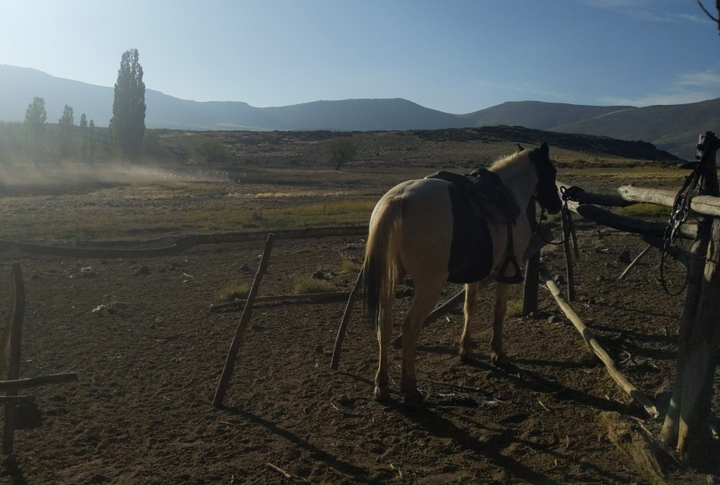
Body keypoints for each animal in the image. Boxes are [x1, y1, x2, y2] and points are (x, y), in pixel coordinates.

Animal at [366, 142, 564, 406]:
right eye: (551, 172)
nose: (557, 205)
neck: (510, 193)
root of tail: (398, 200)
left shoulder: (475, 274)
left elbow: (470, 308)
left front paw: (466, 351)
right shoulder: (507, 270)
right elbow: (499, 311)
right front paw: (498, 354)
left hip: (390, 280)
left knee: (384, 325)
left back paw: (382, 386)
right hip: (429, 286)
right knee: (410, 328)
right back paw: (410, 390)